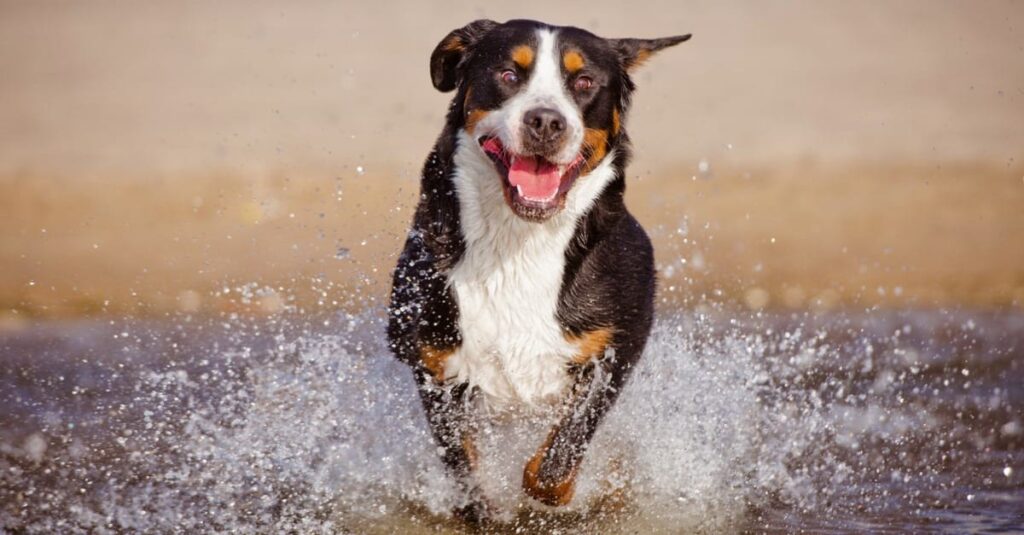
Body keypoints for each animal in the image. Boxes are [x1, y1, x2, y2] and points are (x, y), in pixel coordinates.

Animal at [387, 18, 692, 518]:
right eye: (510, 74)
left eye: (583, 82)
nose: (547, 121)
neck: (518, 242)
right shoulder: (432, 357)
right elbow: (461, 460)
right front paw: (482, 505)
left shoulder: (618, 344)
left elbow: (564, 446)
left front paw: (549, 491)